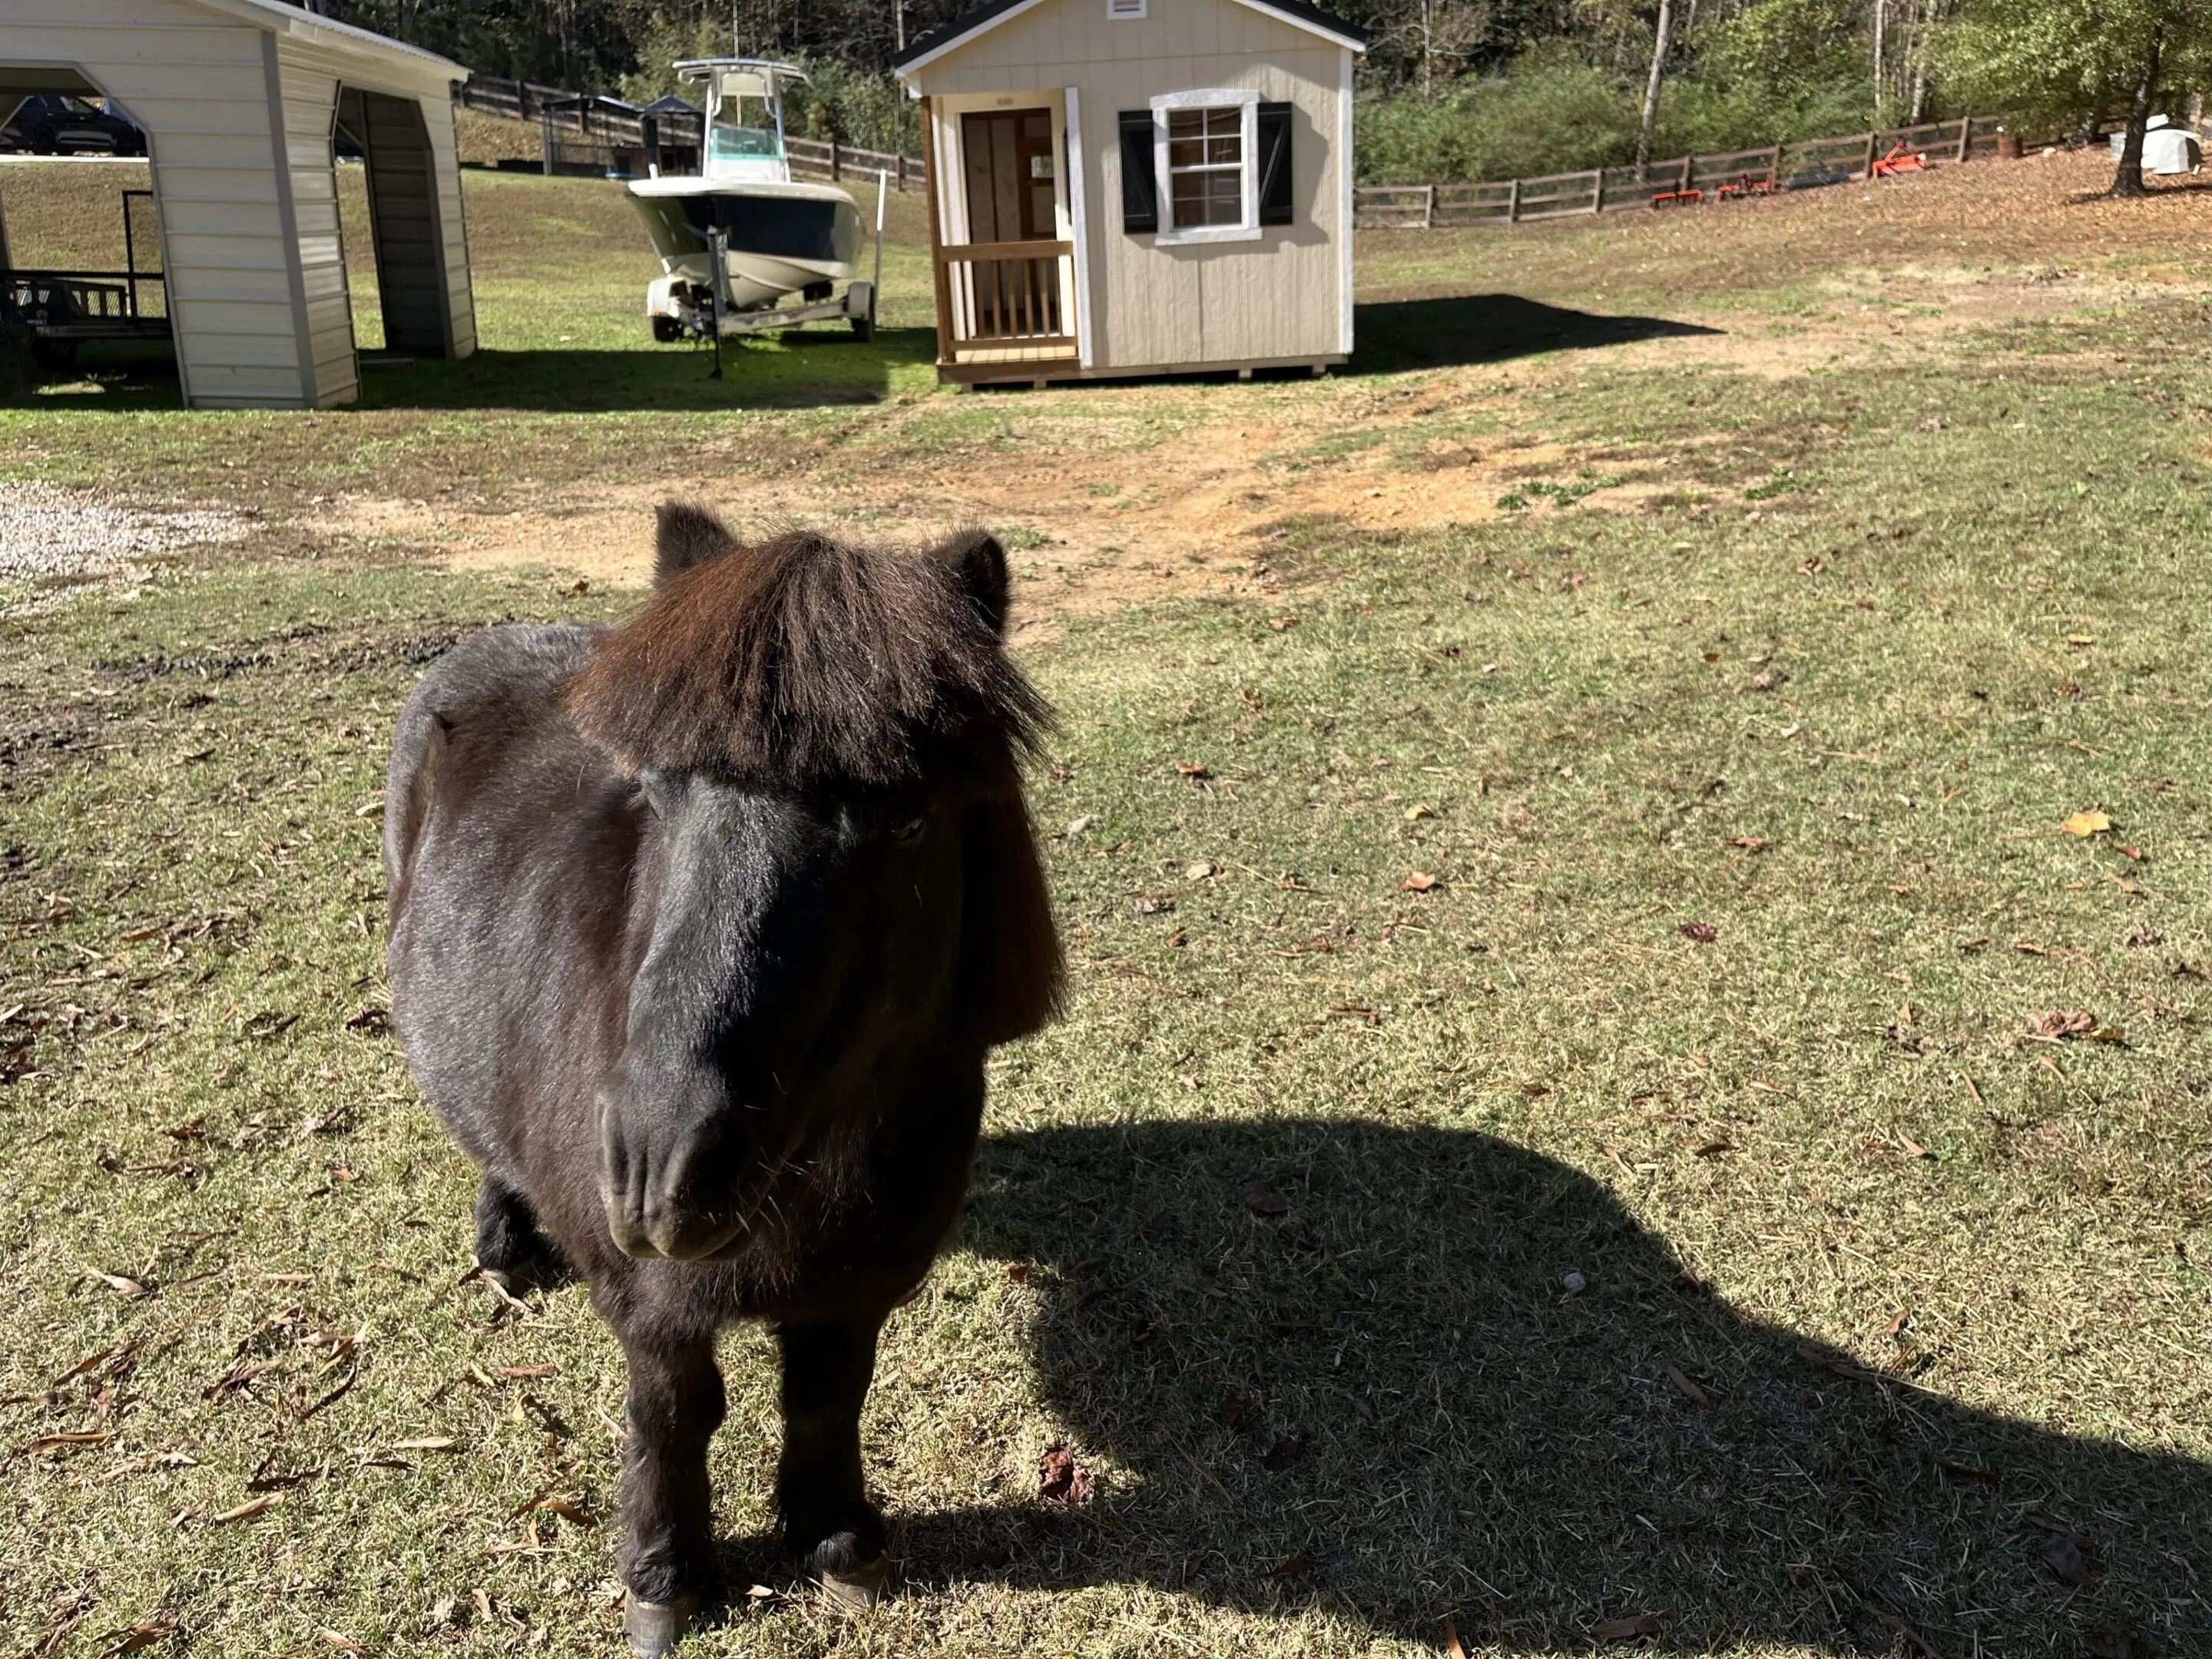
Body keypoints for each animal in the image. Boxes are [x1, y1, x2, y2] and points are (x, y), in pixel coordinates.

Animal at [381, 506, 1063, 1656]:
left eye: (908, 819)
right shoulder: (650, 1303)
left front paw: (835, 1539)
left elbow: (828, 1395)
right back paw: (506, 1242)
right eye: (656, 792)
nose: (664, 1170)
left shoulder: (860, 1283)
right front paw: (667, 1577)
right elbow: (675, 1411)